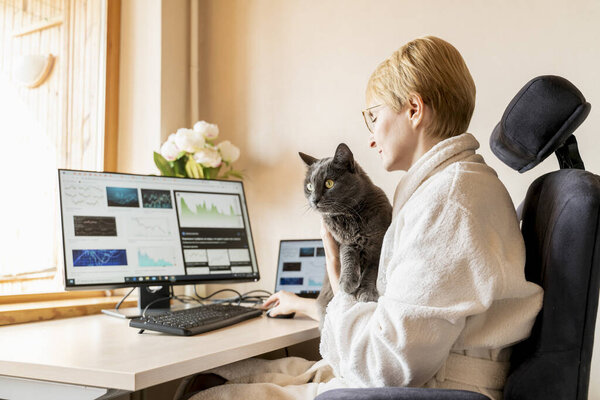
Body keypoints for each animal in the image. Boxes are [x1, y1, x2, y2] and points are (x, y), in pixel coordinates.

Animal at [300, 142, 394, 324]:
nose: (314, 200)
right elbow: (347, 255)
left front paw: (366, 292)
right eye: (309, 186)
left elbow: (372, 268)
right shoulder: (343, 241)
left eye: (329, 183)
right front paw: (347, 281)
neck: (348, 216)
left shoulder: (378, 242)